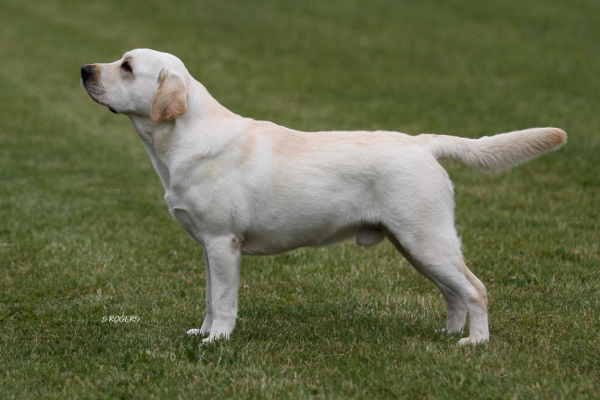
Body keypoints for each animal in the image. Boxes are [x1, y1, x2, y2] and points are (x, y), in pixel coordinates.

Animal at [81, 49, 568, 344]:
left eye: (126, 67)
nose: (85, 70)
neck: (181, 139)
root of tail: (423, 143)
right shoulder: (211, 247)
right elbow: (208, 297)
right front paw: (201, 334)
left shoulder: (222, 241)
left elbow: (222, 301)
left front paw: (217, 341)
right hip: (415, 244)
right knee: (453, 293)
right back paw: (449, 335)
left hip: (427, 238)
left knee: (476, 289)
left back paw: (475, 342)